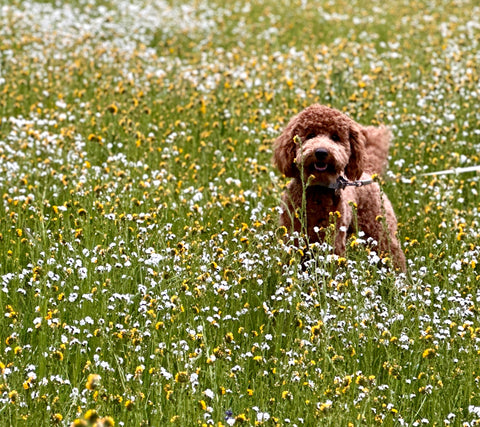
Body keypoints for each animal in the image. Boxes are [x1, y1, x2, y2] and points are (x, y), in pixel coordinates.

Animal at [274, 104, 404, 270]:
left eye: (335, 137)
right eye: (310, 135)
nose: (321, 152)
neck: (317, 190)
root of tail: (368, 171)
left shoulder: (333, 240)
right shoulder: (293, 233)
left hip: (379, 228)